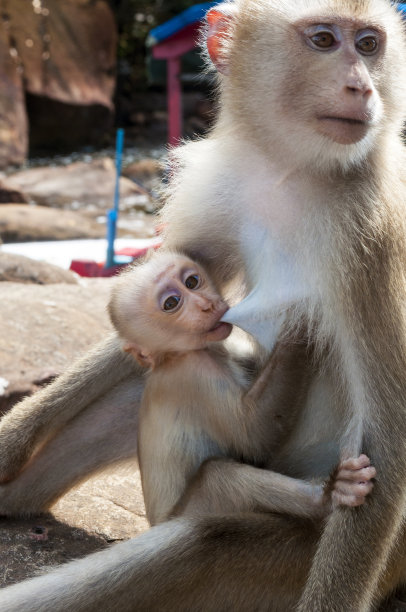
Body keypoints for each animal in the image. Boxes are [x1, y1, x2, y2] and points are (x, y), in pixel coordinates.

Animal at [108, 251, 374, 524]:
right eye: (171, 303)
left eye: (192, 281)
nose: (206, 304)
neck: (173, 356)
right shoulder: (193, 374)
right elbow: (253, 435)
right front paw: (299, 322)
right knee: (217, 476)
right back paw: (328, 497)